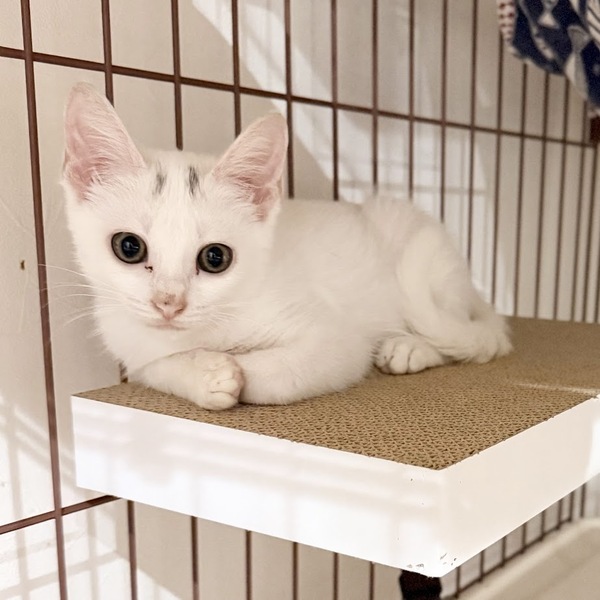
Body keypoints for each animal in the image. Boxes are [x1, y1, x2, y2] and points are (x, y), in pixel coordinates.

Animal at [62, 83, 511, 410]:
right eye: (129, 247)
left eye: (215, 257)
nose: (168, 303)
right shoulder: (132, 350)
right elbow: (156, 366)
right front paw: (204, 375)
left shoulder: (335, 342)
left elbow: (281, 372)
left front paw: (234, 371)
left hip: (430, 266)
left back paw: (410, 347)